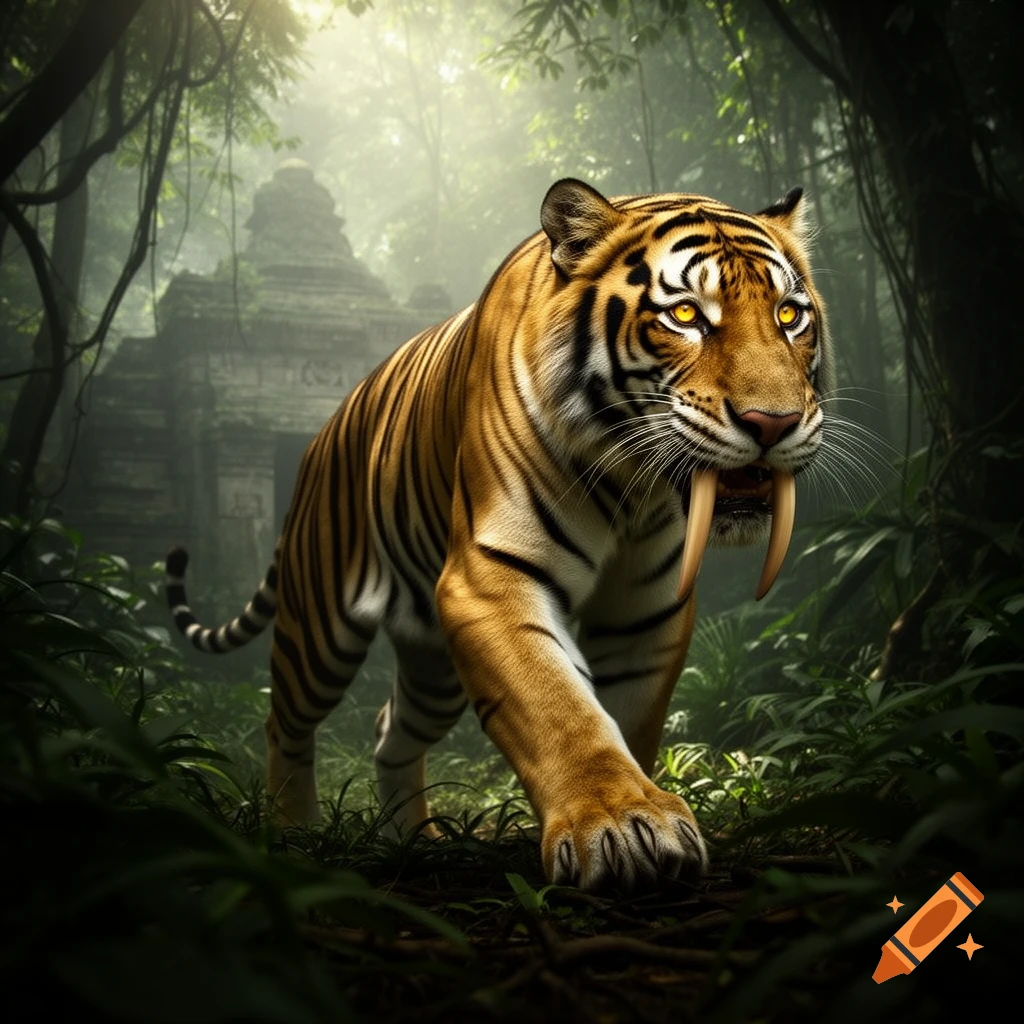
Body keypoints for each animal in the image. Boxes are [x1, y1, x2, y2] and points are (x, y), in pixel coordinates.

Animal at [166, 178, 831, 892]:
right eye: (684, 316)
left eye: (790, 316)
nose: (774, 422)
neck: (633, 486)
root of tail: (322, 434)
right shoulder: (489, 581)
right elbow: (558, 707)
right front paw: (620, 824)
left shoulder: (647, 610)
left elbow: (626, 719)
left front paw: (644, 814)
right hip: (318, 630)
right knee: (283, 721)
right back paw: (293, 834)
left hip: (433, 671)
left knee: (390, 728)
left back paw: (412, 840)